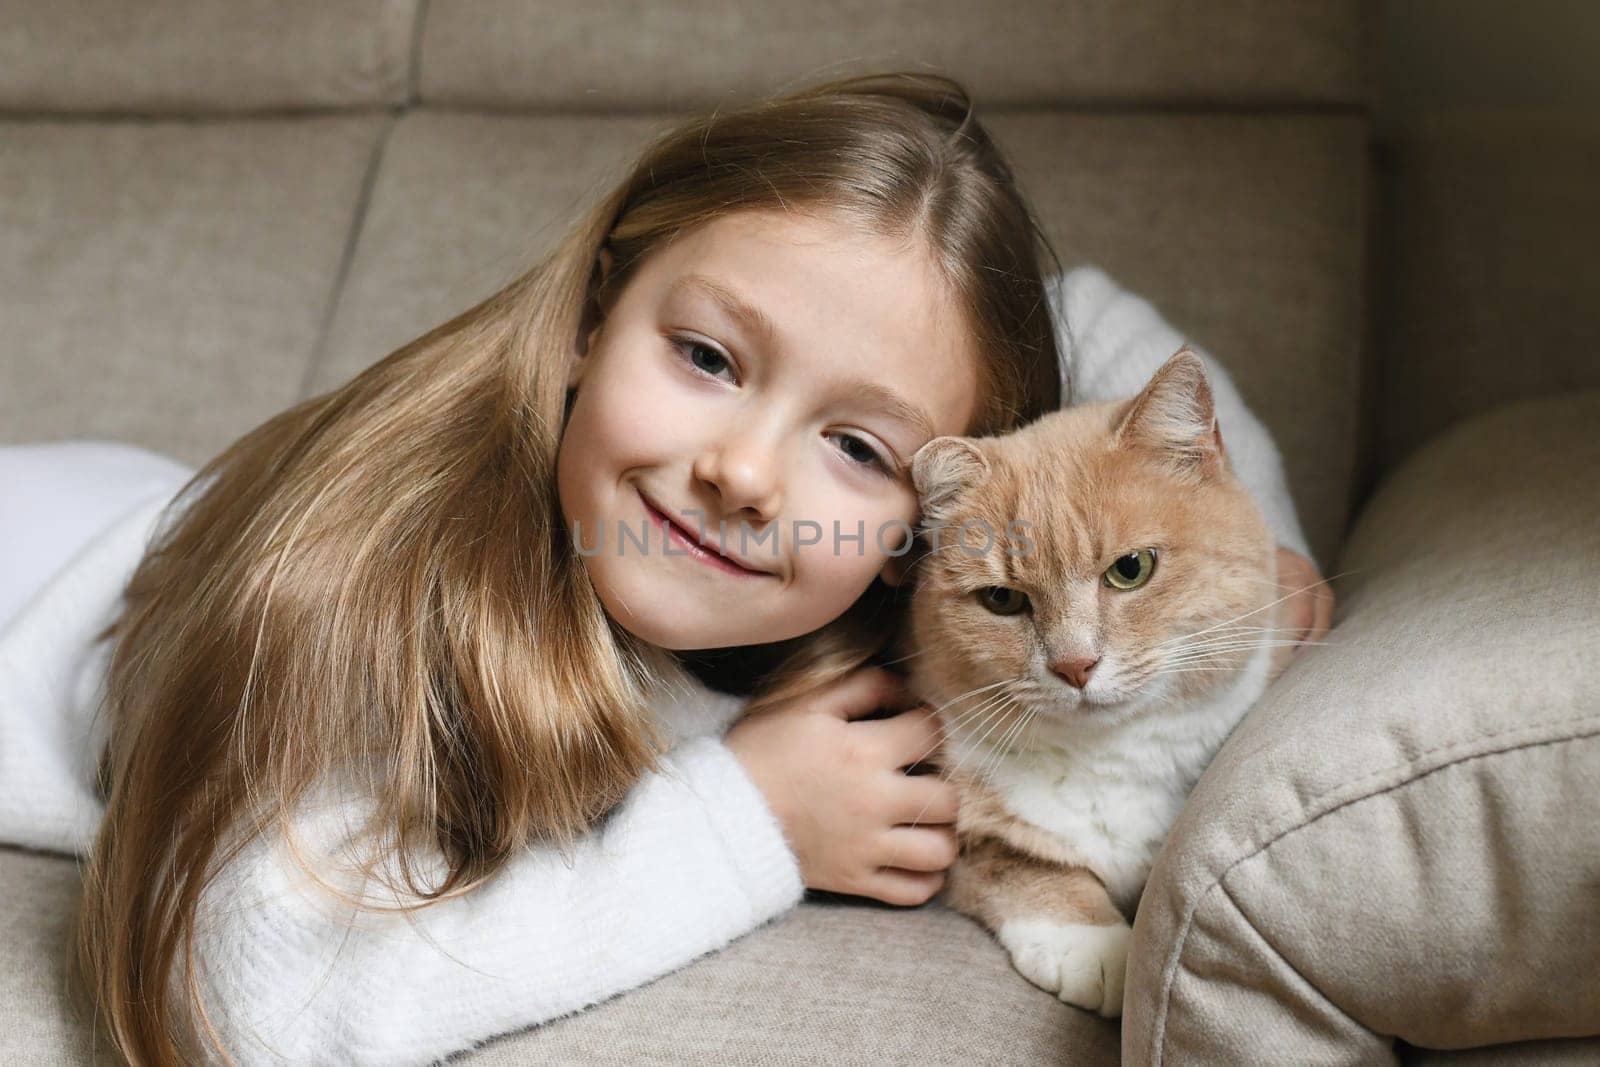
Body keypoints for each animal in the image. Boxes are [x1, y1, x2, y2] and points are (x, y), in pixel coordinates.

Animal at [902, 348, 1299, 1017]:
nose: (1074, 665)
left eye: (1131, 568)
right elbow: (1029, 868)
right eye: (1002, 600)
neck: (1110, 758)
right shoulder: (960, 835)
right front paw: (1098, 947)